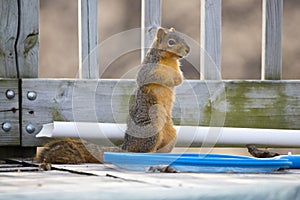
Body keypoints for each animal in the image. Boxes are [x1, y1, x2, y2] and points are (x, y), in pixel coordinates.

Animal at [35, 27, 190, 164]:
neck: (169, 60)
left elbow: (179, 79)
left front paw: (177, 78)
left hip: (170, 133)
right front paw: (169, 78)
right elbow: (154, 77)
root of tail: (126, 147)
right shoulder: (148, 69)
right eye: (171, 42)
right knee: (142, 151)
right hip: (150, 129)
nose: (188, 49)